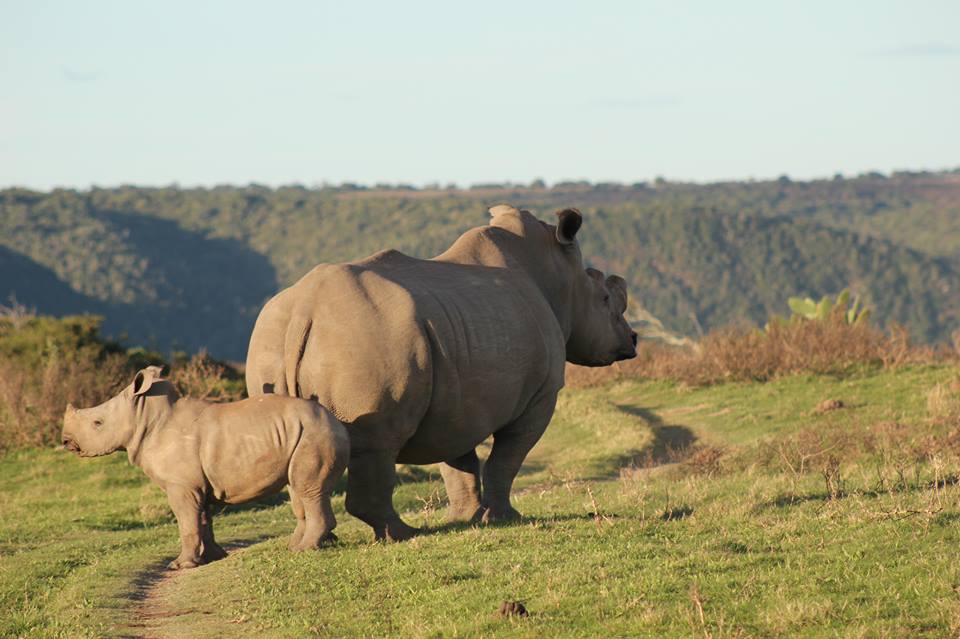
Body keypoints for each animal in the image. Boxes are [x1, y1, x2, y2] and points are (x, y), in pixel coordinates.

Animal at [62, 364, 350, 568]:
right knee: (299, 488)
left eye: (97, 423)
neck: (145, 418)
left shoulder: (181, 485)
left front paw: (180, 565)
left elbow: (186, 522)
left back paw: (304, 549)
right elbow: (203, 519)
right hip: (305, 434)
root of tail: (338, 423)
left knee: (308, 489)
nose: (66, 441)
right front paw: (213, 557)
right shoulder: (196, 484)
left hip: (315, 434)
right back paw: (298, 545)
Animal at [246, 204, 636, 540]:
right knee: (380, 442)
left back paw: (314, 541)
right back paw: (400, 534)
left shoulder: (455, 394)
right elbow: (507, 458)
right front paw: (504, 518)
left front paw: (466, 518)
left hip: (271, 336)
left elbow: (458, 461)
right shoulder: (541, 394)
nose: (632, 340)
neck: (559, 276)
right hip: (367, 337)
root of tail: (305, 311)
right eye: (605, 300)